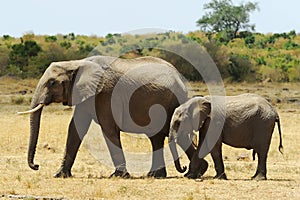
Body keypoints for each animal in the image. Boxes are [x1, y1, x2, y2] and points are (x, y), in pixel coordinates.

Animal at [19, 55, 196, 178]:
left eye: (51, 83)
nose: (36, 165)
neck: (76, 63)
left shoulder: (106, 94)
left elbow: (109, 129)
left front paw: (118, 176)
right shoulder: (86, 95)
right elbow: (75, 129)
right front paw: (59, 175)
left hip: (172, 102)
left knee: (175, 136)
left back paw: (192, 172)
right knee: (157, 138)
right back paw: (158, 175)